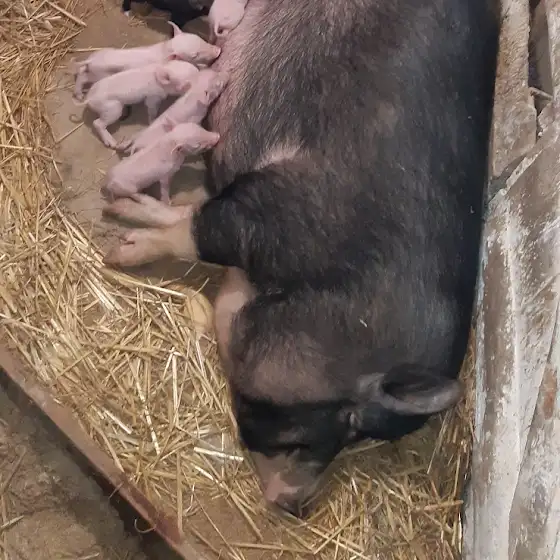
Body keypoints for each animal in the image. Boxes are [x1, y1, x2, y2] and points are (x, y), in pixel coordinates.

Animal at [71, 22, 220, 101]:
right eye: (194, 55)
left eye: (200, 38)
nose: (218, 50)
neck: (166, 48)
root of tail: (92, 59)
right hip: (99, 74)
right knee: (84, 77)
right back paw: (80, 96)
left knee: (81, 72)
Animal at [103, 0, 500, 518]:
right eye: (347, 423)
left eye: (357, 440)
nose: (295, 505)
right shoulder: (270, 206)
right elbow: (194, 230)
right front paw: (119, 249)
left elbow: (185, 216)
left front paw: (128, 214)